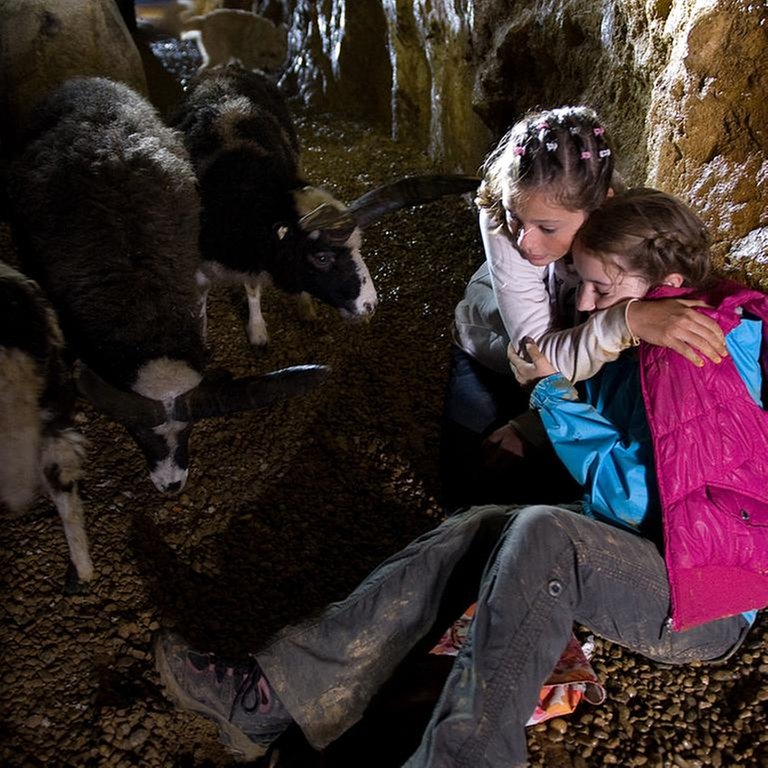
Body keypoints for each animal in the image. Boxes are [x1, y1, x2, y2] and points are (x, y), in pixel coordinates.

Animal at [172, 66, 480, 348]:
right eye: (321, 258)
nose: (370, 305)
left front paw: (258, 330)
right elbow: (201, 301)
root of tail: (225, 67)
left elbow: (252, 286)